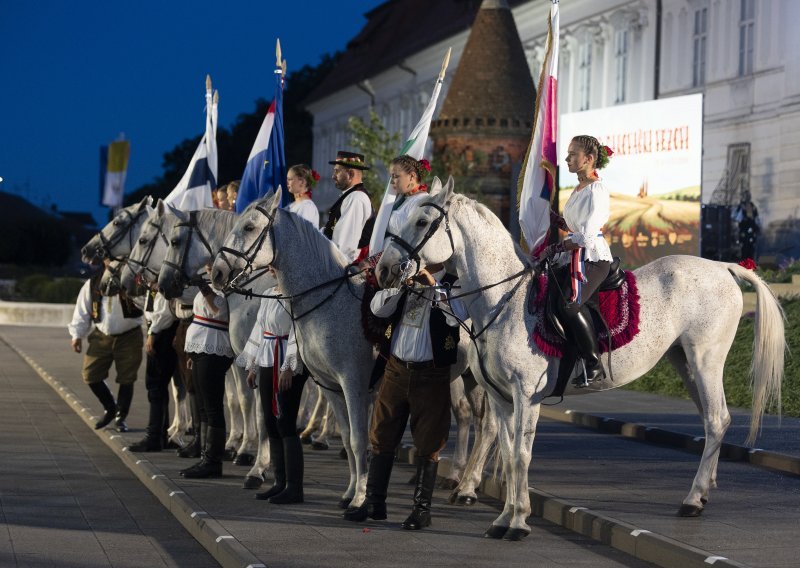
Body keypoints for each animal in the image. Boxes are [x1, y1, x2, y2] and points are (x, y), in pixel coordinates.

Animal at [211, 191, 376, 510]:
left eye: (249, 227)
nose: (217, 272)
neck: (330, 300)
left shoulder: (354, 383)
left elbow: (360, 439)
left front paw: (360, 499)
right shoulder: (330, 384)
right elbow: (348, 437)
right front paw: (350, 492)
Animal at [378, 180, 784, 540]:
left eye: (422, 221)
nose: (383, 270)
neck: (503, 301)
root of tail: (723, 266)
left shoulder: (526, 396)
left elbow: (521, 455)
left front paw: (518, 522)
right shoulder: (501, 397)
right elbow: (508, 455)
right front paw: (504, 519)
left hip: (705, 361)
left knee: (717, 420)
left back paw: (692, 500)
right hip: (685, 363)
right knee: (712, 421)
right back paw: (704, 490)